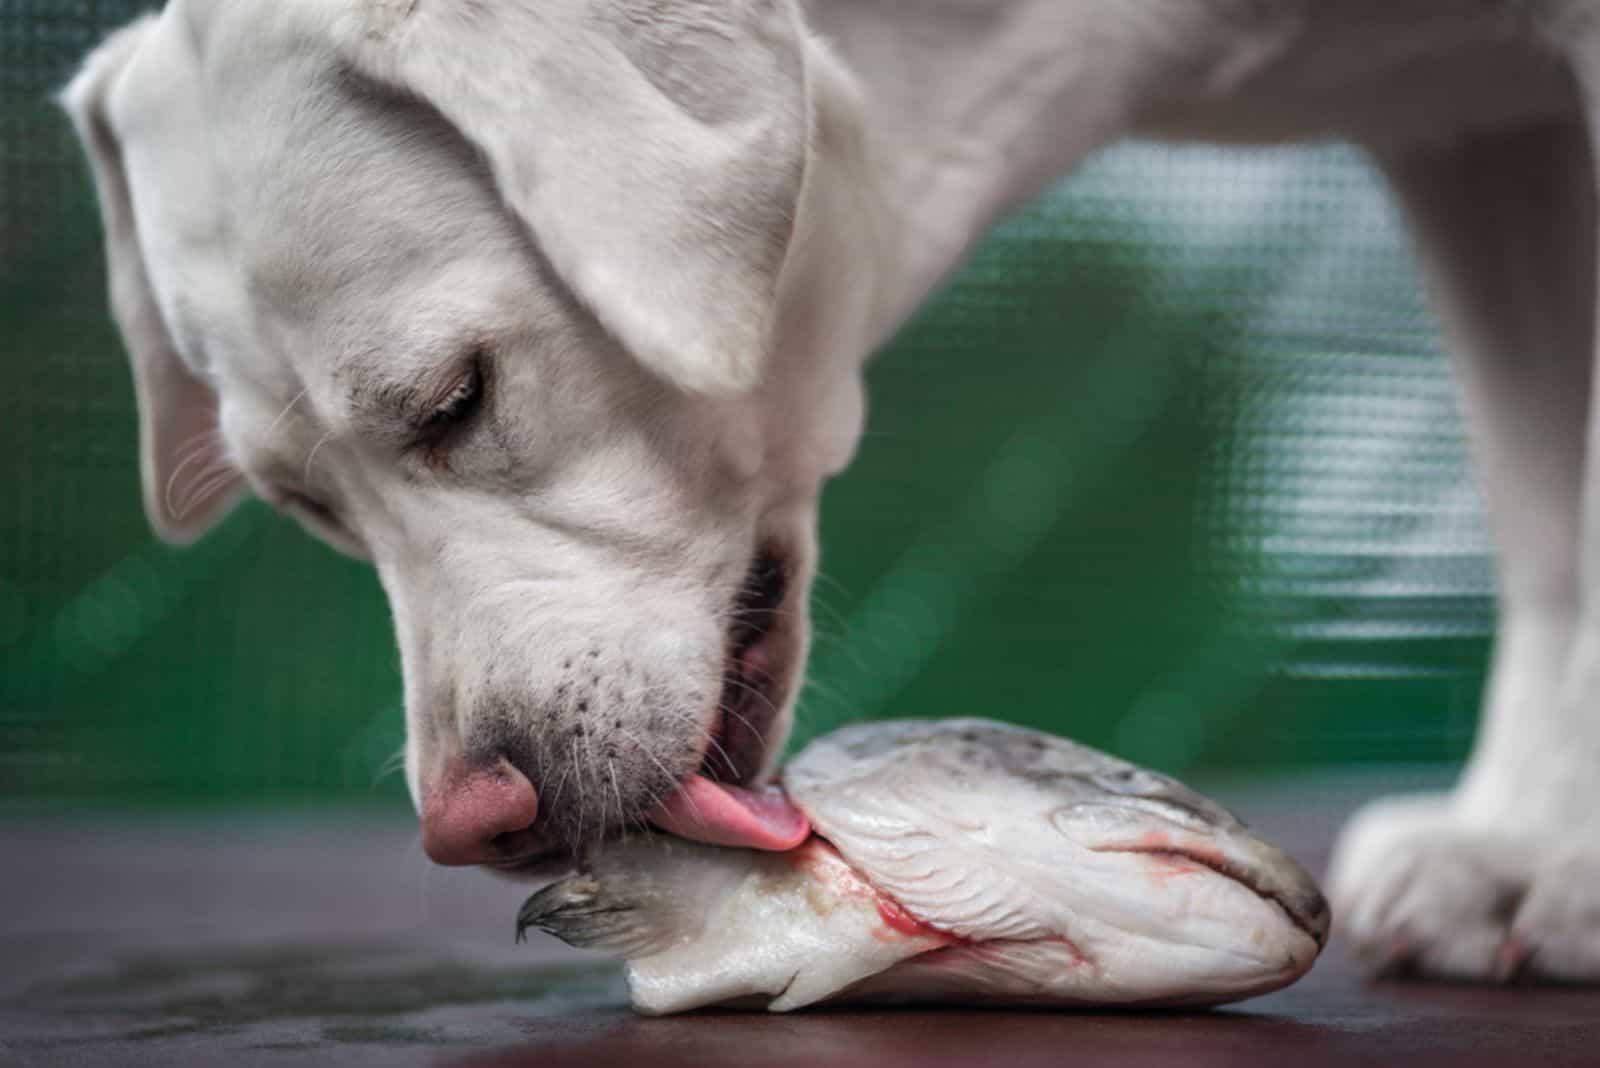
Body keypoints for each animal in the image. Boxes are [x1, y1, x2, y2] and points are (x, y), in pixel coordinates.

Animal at [59, 0, 1600, 978]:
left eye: (456, 400)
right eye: (308, 507)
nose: (470, 828)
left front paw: (1548, 860)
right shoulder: (1476, 139)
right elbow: (1546, 517)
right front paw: (1513, 847)